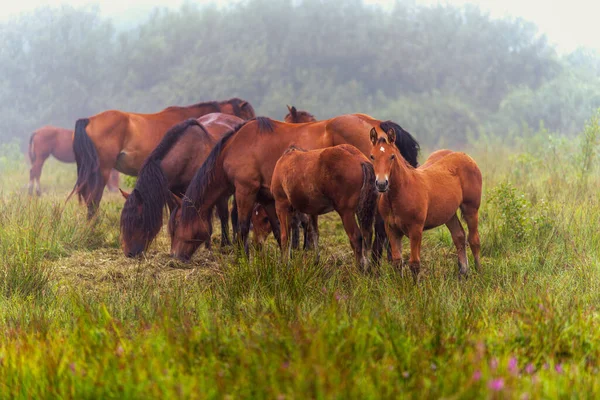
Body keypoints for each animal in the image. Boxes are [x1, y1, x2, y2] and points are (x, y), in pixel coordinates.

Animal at [118, 113, 244, 256]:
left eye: (139, 219)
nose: (129, 253)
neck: (187, 156)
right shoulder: (174, 197)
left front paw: (213, 247)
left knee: (229, 215)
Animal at [370, 128, 482, 278]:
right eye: (372, 156)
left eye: (392, 156)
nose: (382, 184)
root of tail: (465, 156)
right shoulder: (392, 229)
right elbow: (397, 261)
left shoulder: (416, 229)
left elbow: (414, 263)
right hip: (449, 213)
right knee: (459, 236)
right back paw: (463, 273)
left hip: (471, 208)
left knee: (474, 240)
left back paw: (479, 272)